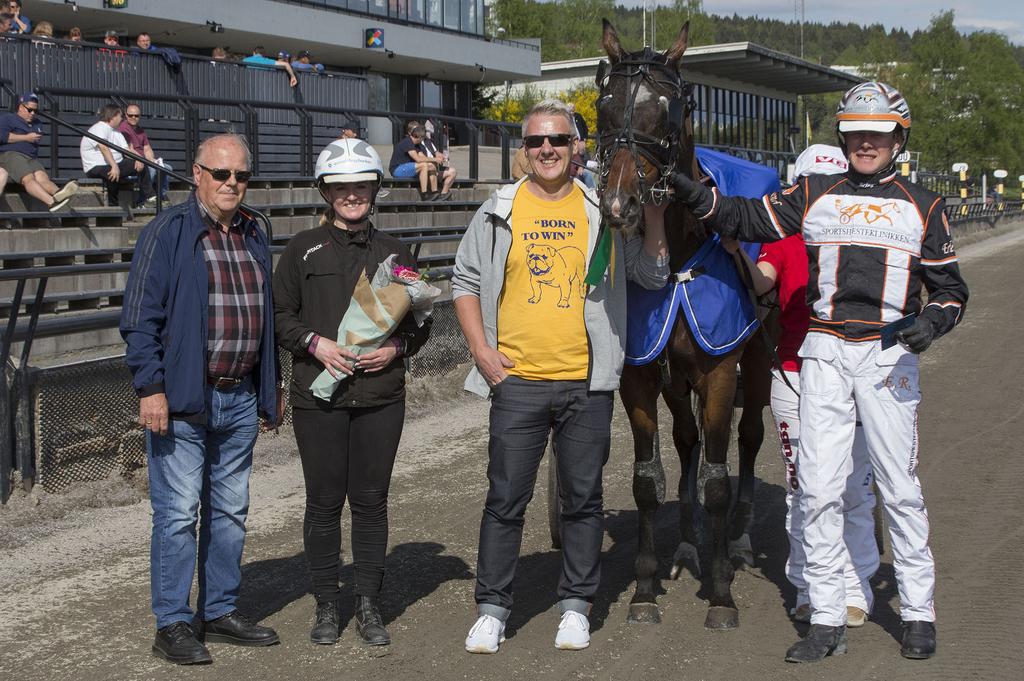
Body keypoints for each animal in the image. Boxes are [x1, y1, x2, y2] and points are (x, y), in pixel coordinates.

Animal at [598, 19, 770, 626]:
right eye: (604, 106)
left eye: (667, 112)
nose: (619, 205)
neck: (676, 253)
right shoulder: (642, 373)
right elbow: (648, 479)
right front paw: (645, 589)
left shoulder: (719, 373)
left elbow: (719, 479)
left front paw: (720, 593)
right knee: (688, 438)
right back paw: (691, 544)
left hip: (757, 362)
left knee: (749, 436)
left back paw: (737, 539)